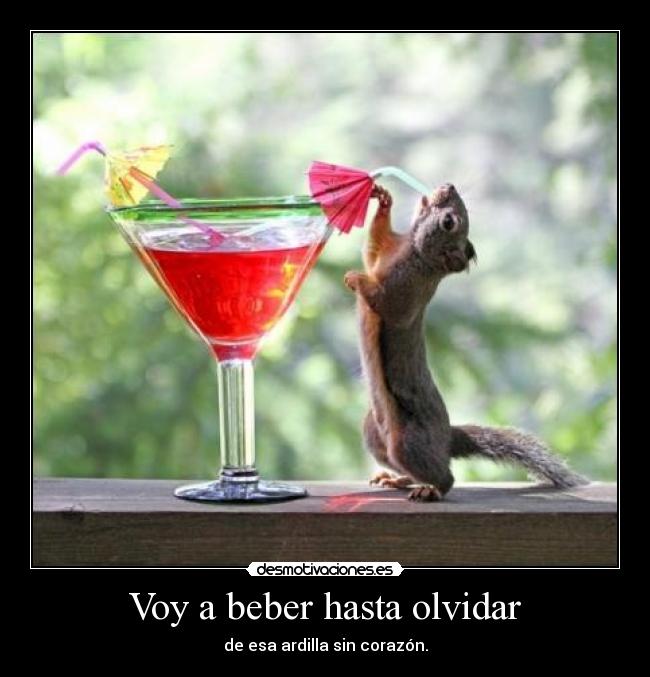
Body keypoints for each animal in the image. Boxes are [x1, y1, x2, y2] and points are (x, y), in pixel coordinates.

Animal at [343, 182, 587, 501]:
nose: (448, 186)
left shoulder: (405, 292)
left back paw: (430, 490)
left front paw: (355, 278)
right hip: (374, 431)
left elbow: (384, 301)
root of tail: (447, 437)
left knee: (446, 477)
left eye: (449, 223)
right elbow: (372, 248)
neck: (413, 252)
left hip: (407, 443)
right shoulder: (384, 253)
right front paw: (384, 200)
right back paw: (397, 479)